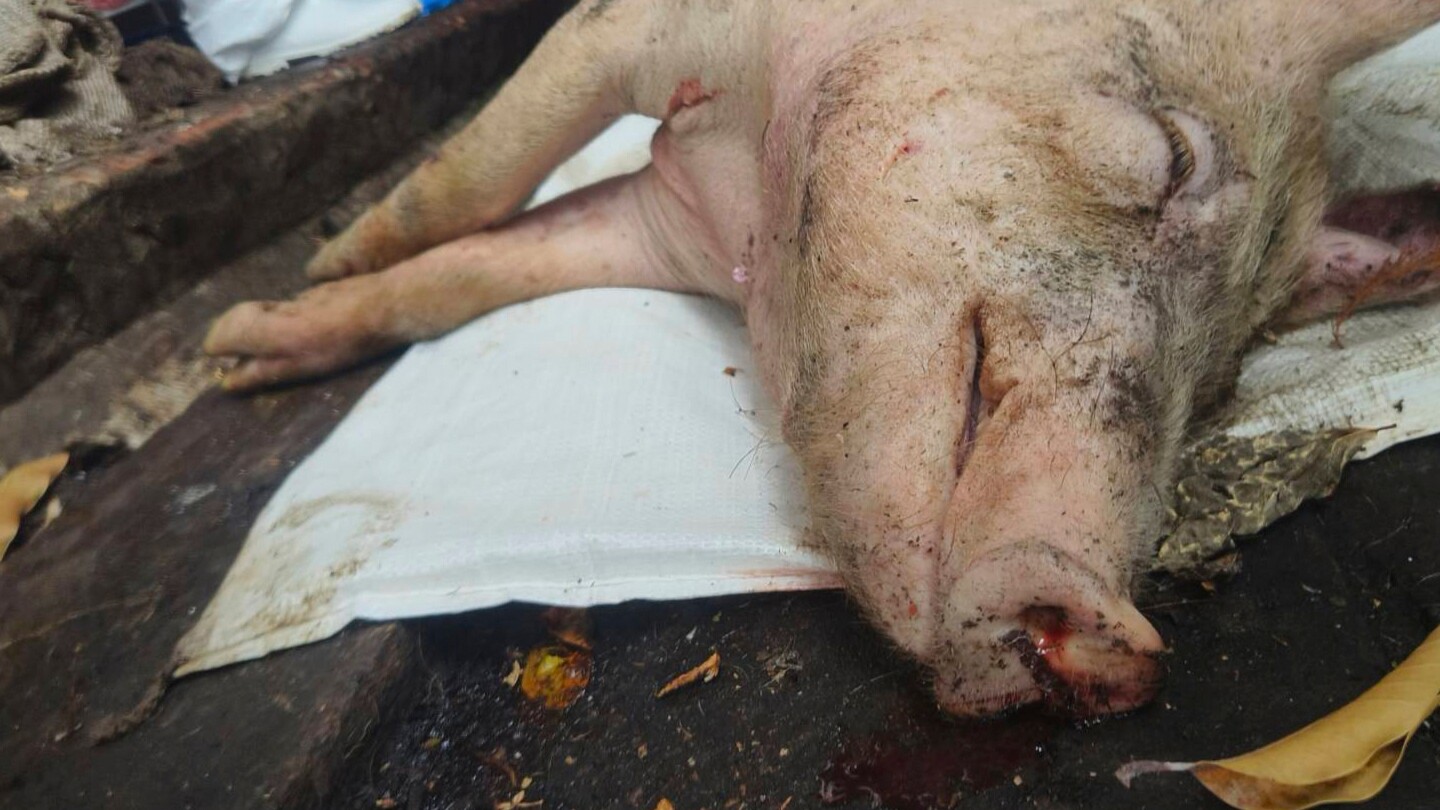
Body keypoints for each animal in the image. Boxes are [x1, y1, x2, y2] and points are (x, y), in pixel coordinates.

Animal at [203, 0, 1440, 717]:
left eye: (1223, 373)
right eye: (1176, 157)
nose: (1121, 638)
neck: (746, 209)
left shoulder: (665, 229)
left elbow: (468, 276)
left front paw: (246, 349)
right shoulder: (632, 31)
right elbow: (468, 184)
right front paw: (271, 314)